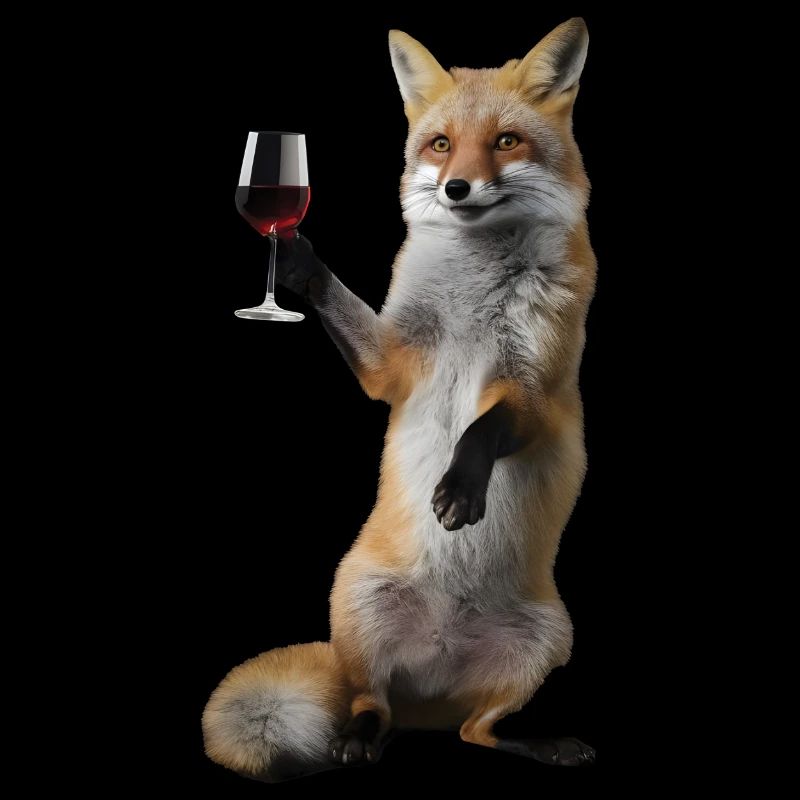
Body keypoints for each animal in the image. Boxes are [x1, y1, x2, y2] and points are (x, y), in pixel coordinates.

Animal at [203, 18, 597, 781]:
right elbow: (343, 308)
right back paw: (355, 742)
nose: (457, 188)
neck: (475, 288)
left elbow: (482, 428)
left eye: (507, 140)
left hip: (546, 641)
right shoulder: (392, 368)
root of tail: (435, 679)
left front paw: (461, 489)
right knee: (371, 705)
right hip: (356, 605)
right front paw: (295, 256)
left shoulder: (537, 392)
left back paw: (541, 744)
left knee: (474, 733)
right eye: (440, 144)